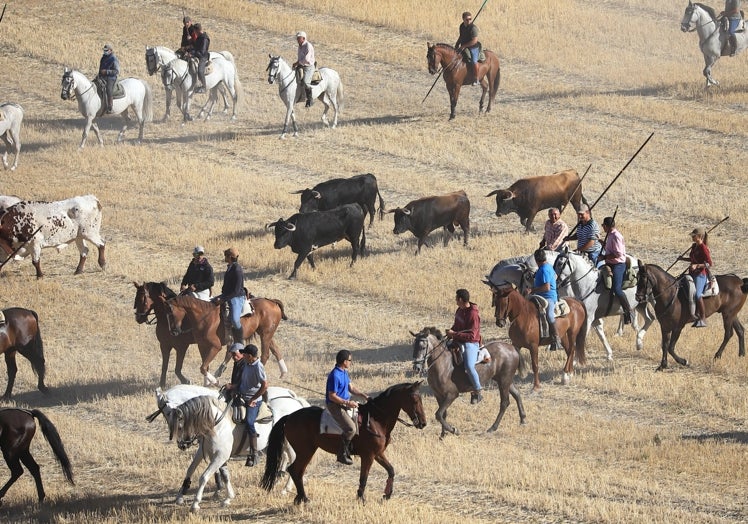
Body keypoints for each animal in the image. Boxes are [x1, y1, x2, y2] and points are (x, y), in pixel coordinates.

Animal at [153, 384, 308, 512]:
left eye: (169, 414)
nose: (182, 444)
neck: (217, 421)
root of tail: (295, 402)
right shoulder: (208, 452)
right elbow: (198, 470)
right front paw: (182, 494)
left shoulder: (220, 455)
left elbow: (205, 476)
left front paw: (196, 503)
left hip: (288, 445)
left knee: (292, 461)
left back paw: (285, 488)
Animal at [262, 380, 426, 504]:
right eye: (415, 400)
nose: (423, 423)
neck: (375, 420)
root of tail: (289, 416)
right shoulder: (368, 455)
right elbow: (364, 477)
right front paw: (361, 498)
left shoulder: (378, 454)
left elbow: (391, 470)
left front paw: (387, 494)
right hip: (305, 451)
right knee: (296, 470)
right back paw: (303, 498)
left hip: (305, 451)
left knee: (297, 471)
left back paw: (300, 498)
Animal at [486, 250, 656, 360]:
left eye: (561, 262)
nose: (527, 291)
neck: (588, 284)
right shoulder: (589, 315)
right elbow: (599, 331)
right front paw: (608, 354)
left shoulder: (585, 316)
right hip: (641, 304)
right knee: (649, 318)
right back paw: (638, 341)